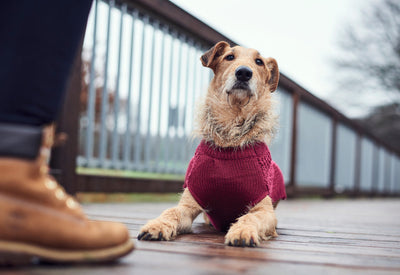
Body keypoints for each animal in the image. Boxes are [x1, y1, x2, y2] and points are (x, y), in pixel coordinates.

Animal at [139, 41, 286, 248]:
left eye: (259, 62)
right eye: (229, 57)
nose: (243, 73)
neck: (230, 139)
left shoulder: (264, 209)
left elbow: (251, 217)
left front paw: (242, 231)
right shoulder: (189, 203)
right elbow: (172, 211)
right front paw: (156, 226)